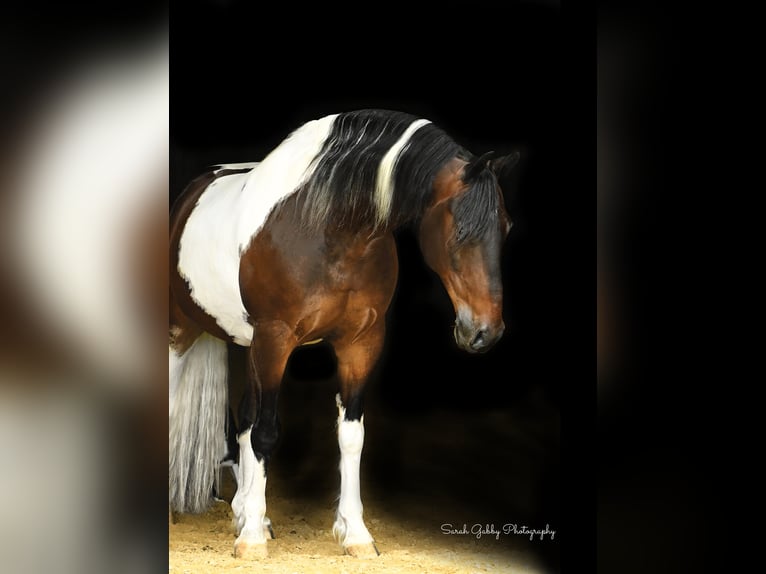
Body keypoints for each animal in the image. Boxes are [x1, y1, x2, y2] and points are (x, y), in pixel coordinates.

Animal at [168, 108, 520, 560]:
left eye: (506, 227)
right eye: (459, 228)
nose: (485, 331)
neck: (326, 230)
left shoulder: (361, 343)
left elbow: (350, 436)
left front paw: (355, 533)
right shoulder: (276, 338)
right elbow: (266, 432)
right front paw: (251, 542)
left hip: (250, 347)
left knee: (244, 419)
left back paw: (248, 514)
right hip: (185, 329)